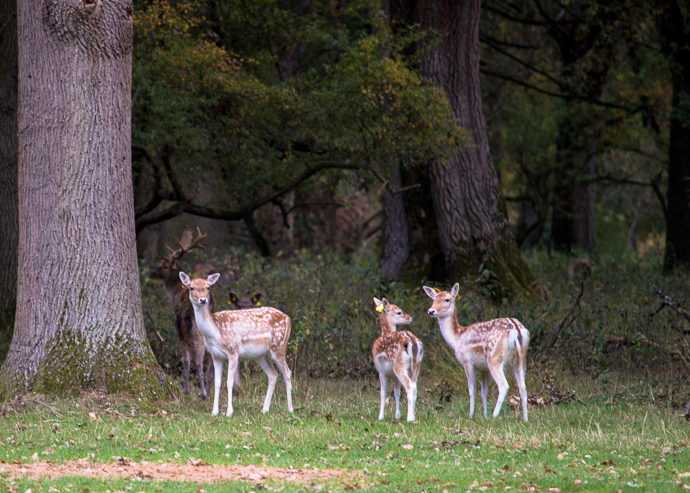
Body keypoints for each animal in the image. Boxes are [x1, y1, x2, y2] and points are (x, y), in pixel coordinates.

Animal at [150, 227, 239, 399]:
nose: (152, 273)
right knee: (197, 363)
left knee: (186, 361)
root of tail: (184, 317)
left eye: (164, 266)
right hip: (199, 340)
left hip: (182, 338)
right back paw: (203, 393)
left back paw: (187, 390)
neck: (175, 291)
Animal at [180, 272, 293, 416]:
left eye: (208, 287)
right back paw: (264, 409)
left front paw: (229, 412)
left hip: (279, 345)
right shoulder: (216, 356)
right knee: (273, 374)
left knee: (287, 372)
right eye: (191, 288)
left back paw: (290, 409)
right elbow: (217, 382)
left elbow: (229, 382)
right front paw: (214, 412)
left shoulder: (233, 351)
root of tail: (288, 318)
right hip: (260, 355)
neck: (215, 331)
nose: (203, 300)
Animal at [423, 284, 530, 422]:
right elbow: (484, 391)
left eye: (447, 299)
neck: (457, 339)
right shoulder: (484, 369)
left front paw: (471, 415)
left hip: (494, 358)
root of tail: (516, 329)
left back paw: (495, 416)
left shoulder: (467, 362)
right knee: (522, 386)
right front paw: (484, 414)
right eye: (433, 299)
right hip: (520, 358)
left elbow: (472, 390)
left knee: (504, 386)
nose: (431, 311)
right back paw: (525, 419)